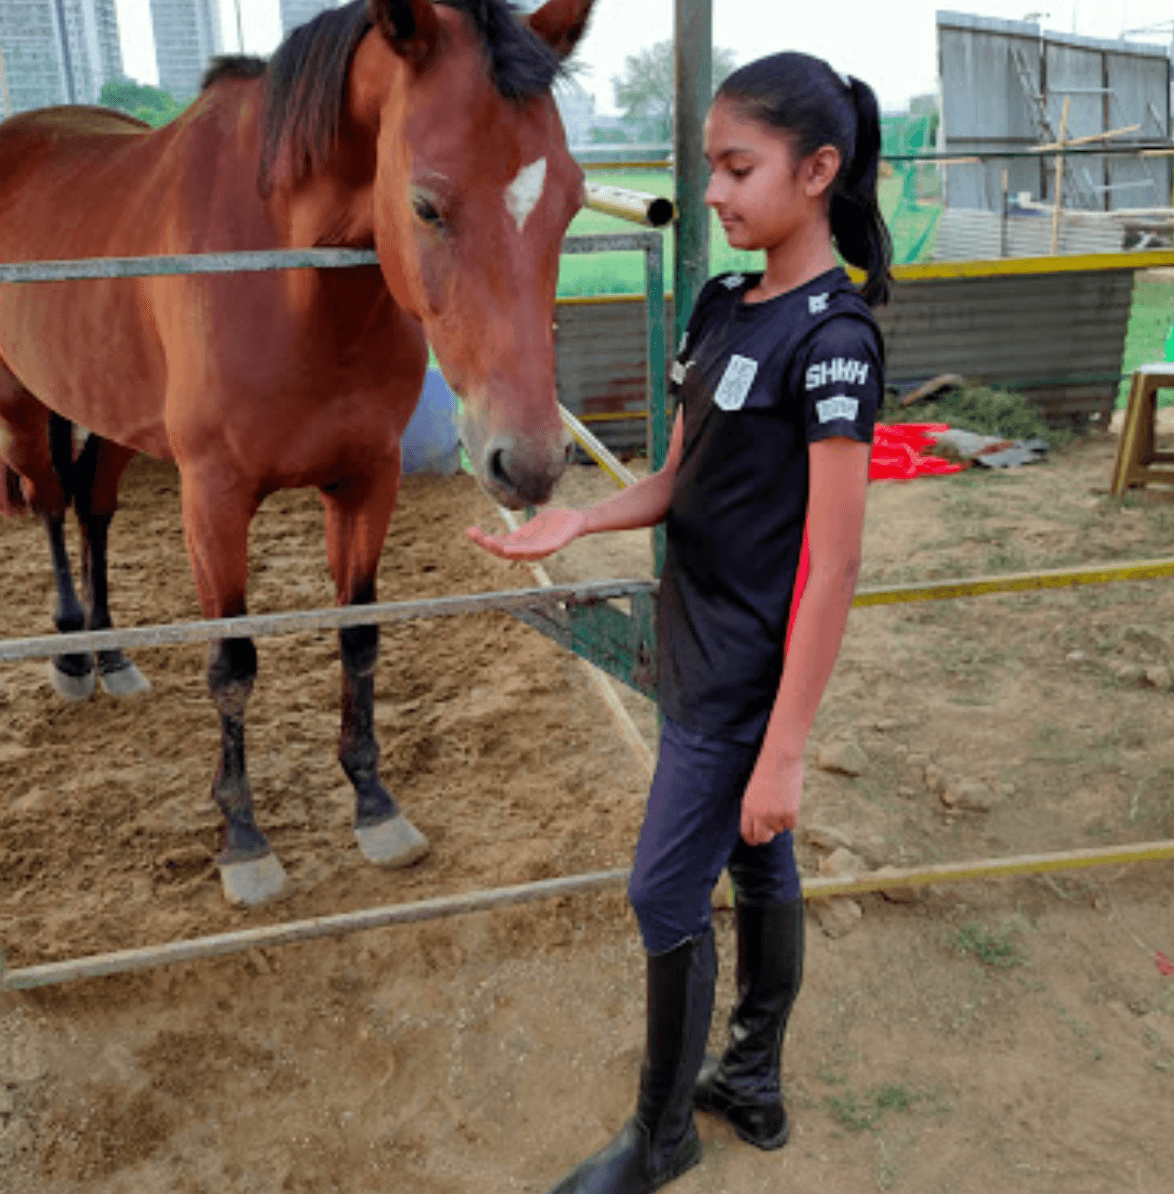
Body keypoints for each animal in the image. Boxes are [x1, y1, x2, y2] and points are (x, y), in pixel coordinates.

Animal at [0, 2, 592, 902]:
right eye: (426, 207)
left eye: (570, 202)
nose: (527, 461)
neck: (294, 278)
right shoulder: (212, 499)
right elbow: (234, 663)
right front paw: (243, 840)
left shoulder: (365, 480)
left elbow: (359, 636)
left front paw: (375, 805)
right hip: (21, 404)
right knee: (50, 503)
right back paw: (71, 657)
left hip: (109, 416)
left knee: (94, 509)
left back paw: (111, 653)